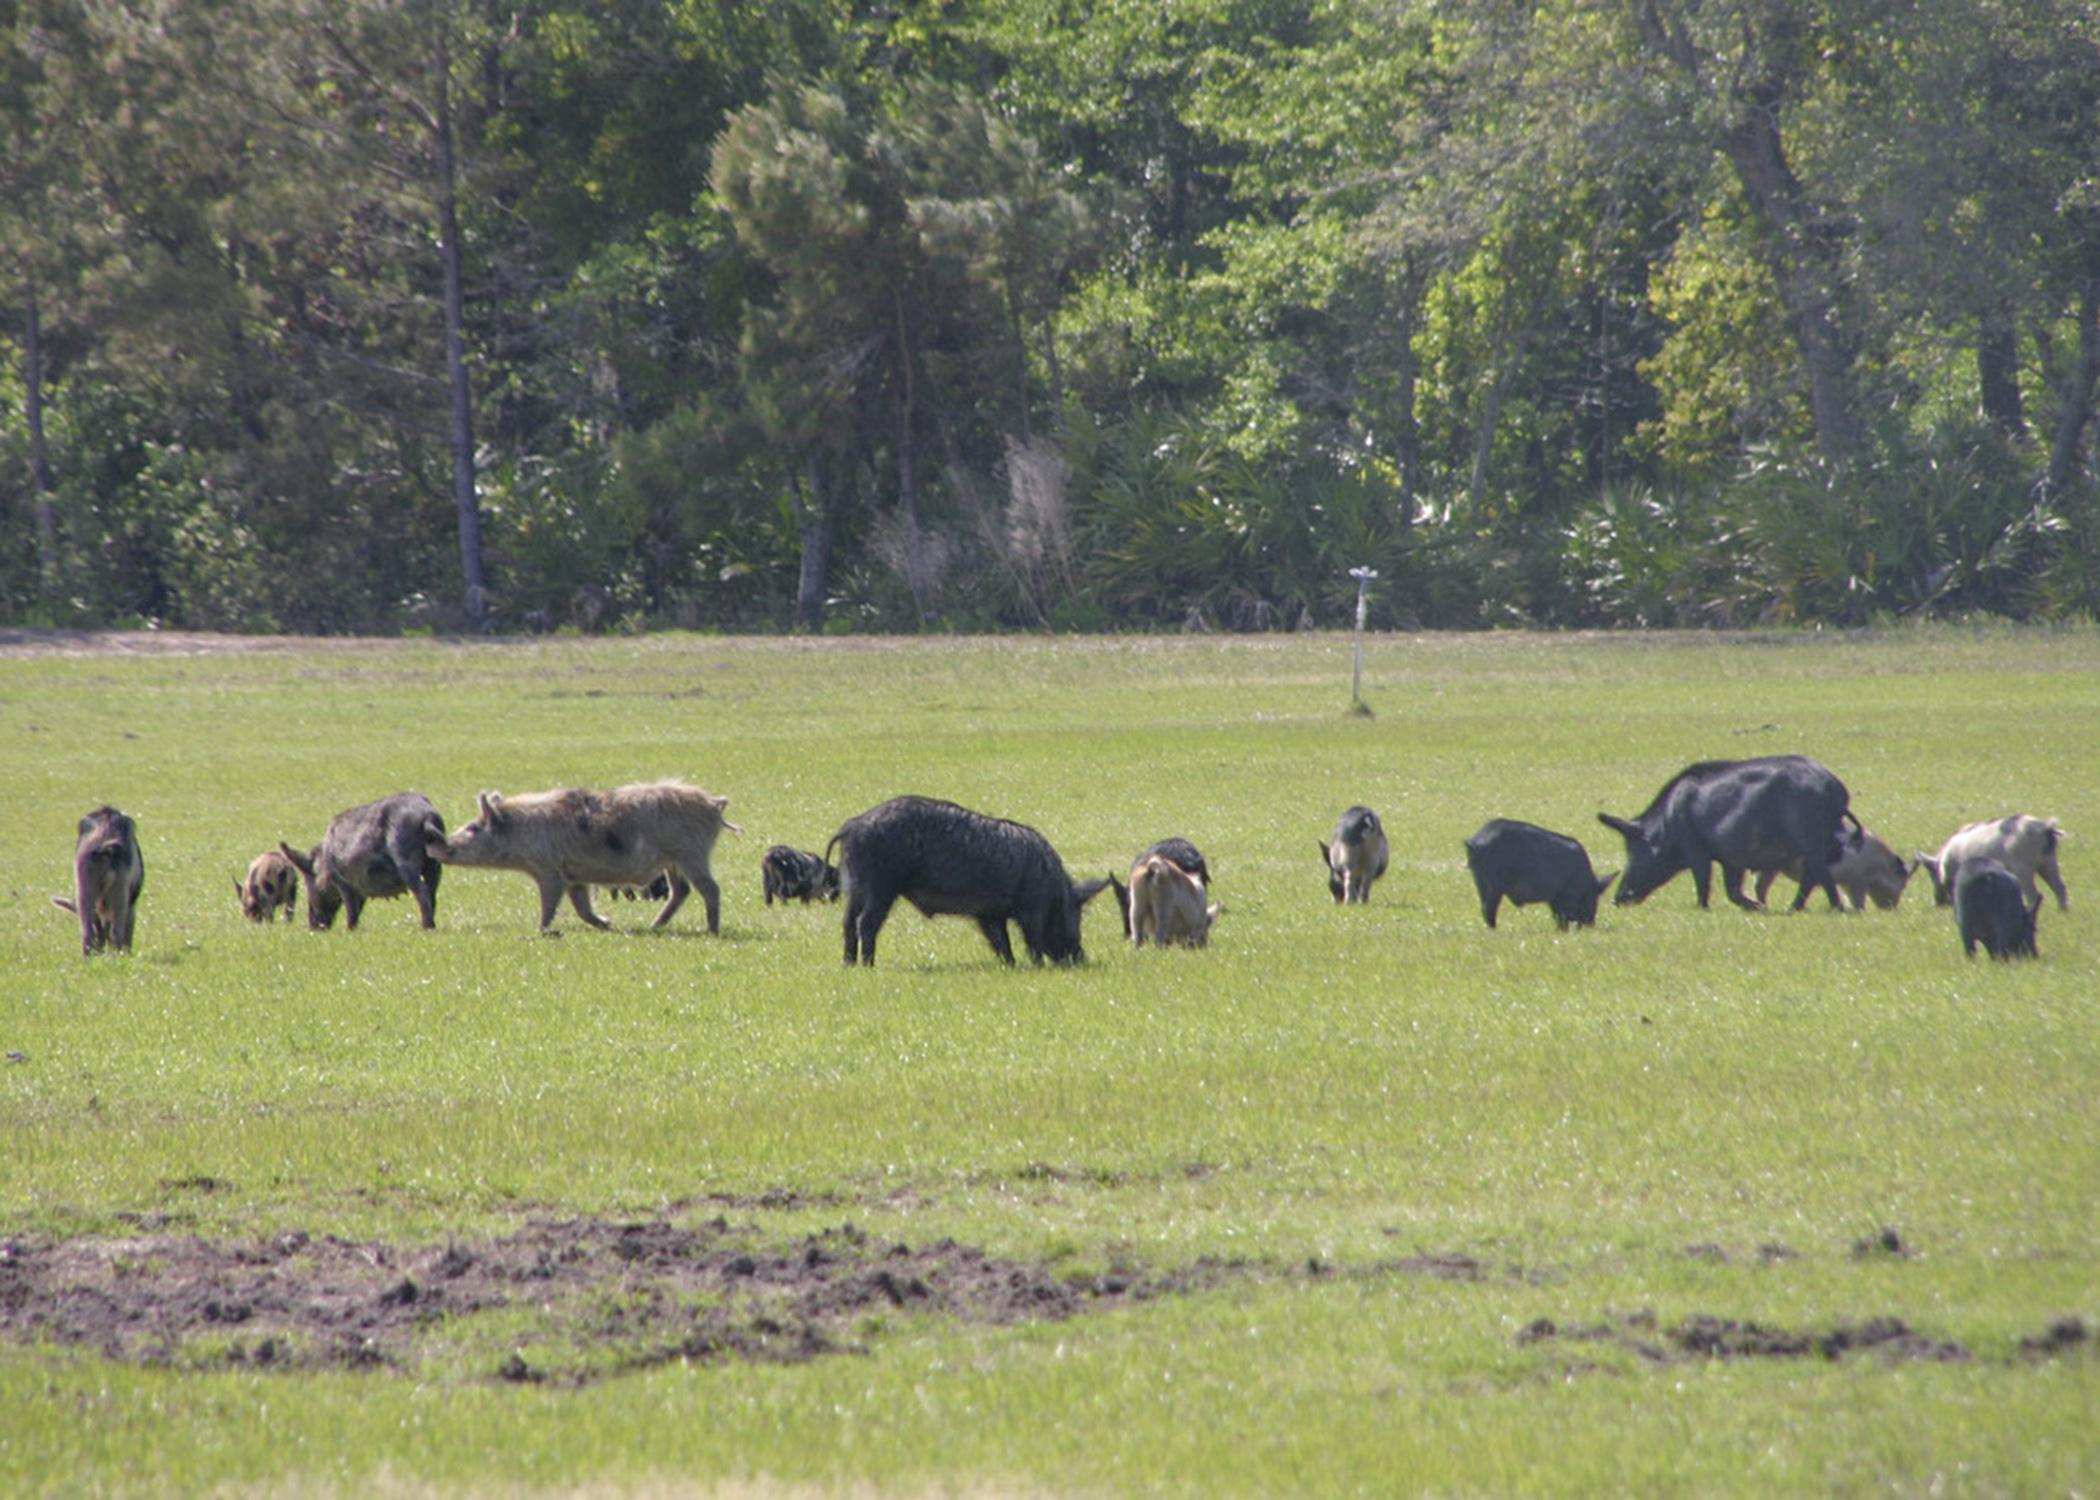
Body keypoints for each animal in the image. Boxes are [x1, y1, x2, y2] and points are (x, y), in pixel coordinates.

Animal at [54, 802, 144, 953]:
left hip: (85, 889)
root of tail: (104, 845)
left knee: (87, 932)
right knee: (116, 931)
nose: (99, 948)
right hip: (119, 894)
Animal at [281, 789, 445, 928]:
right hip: (434, 864)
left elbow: (350, 908)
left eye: (308, 883)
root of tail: (427, 815)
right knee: (432, 892)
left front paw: (349, 930)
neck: (324, 863)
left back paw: (426, 927)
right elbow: (358, 908)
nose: (313, 927)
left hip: (404, 856)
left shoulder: (342, 881)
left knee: (422, 891)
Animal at [426, 777, 739, 928]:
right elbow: (582, 909)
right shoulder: (574, 877)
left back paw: (712, 930)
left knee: (710, 888)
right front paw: (608, 924)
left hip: (692, 853)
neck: (523, 833)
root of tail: (713, 804)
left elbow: (549, 903)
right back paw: (654, 926)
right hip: (672, 861)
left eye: (473, 828)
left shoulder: (549, 870)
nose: (434, 845)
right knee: (682, 890)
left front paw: (540, 930)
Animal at [823, 794, 1108, 970]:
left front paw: (1010, 966)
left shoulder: (989, 914)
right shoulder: (1031, 910)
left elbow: (1001, 941)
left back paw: (848, 964)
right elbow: (1032, 940)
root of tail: (850, 827)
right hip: (880, 887)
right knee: (865, 923)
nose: (1081, 959)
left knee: (847, 922)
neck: (1053, 888)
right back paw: (868, 965)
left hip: (855, 887)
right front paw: (1036, 966)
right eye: (1074, 918)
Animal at [1469, 819, 1612, 924]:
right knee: (1488, 909)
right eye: (1595, 899)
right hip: (1495, 883)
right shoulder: (1569, 893)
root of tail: (1474, 844)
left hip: (1480, 881)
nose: (1590, 924)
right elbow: (1564, 916)